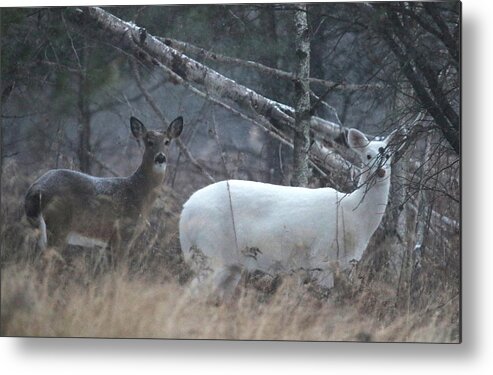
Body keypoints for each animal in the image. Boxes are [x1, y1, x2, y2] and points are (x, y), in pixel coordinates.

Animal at [24, 116, 183, 260]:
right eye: (149, 142)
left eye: (167, 141)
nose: (160, 157)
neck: (138, 192)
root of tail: (35, 191)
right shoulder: (123, 235)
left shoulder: (108, 244)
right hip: (58, 226)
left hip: (38, 228)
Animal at [180, 129, 392, 300]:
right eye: (368, 155)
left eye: (388, 154)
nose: (381, 171)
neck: (353, 215)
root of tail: (185, 213)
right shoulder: (321, 257)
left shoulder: (345, 265)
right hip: (210, 249)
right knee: (190, 292)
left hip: (230, 264)